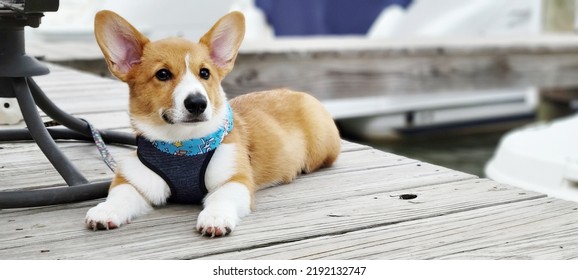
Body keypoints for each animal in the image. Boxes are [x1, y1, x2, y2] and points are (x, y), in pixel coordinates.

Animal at [83, 10, 340, 236]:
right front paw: (104, 211)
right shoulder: (135, 181)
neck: (182, 144)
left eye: (204, 73)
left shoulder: (235, 180)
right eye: (163, 74)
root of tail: (298, 92)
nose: (197, 103)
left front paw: (215, 218)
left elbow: (220, 197)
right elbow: (121, 195)